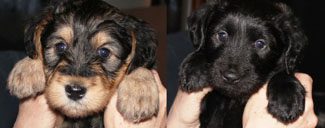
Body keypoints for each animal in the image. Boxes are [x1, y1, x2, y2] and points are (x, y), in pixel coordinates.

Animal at [7, 0, 158, 127]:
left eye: (104, 52)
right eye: (60, 46)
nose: (75, 91)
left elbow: (141, 66)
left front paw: (139, 92)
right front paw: (26, 71)